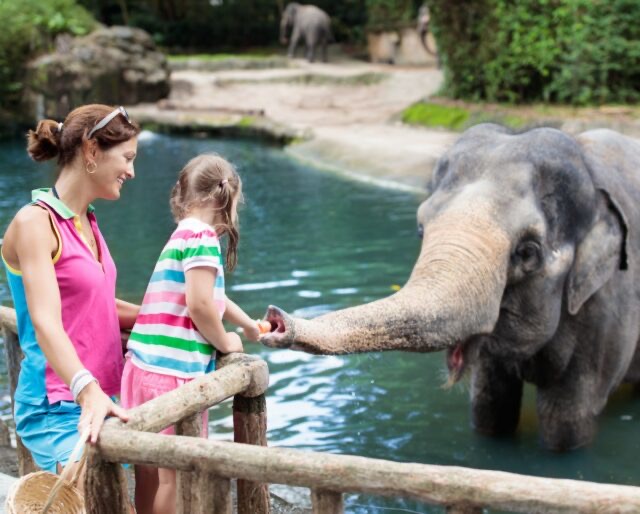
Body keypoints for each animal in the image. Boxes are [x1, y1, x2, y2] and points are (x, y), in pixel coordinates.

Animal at [261, 124, 640, 452]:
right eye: (420, 229)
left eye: (528, 251)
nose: (275, 320)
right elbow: (488, 407)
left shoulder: (607, 309)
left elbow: (565, 421)